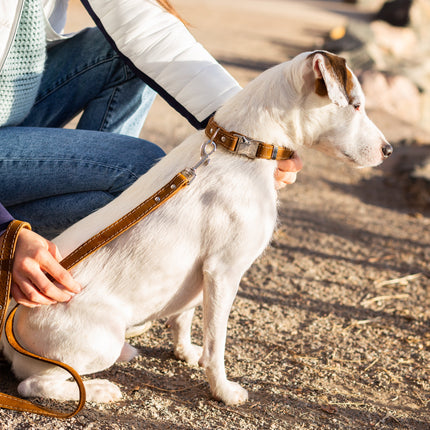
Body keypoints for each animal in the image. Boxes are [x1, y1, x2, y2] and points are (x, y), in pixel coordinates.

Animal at [0, 51, 392, 406]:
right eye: (356, 105)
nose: (388, 150)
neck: (243, 147)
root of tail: (8, 324)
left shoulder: (199, 274)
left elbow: (184, 317)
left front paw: (185, 351)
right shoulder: (223, 271)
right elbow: (217, 343)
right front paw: (223, 390)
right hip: (99, 341)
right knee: (34, 385)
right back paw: (98, 390)